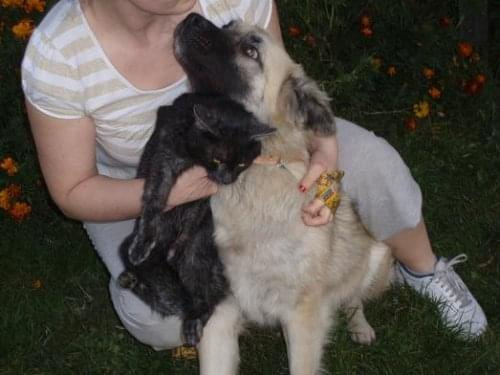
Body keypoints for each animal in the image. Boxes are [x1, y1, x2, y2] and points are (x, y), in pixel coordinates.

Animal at [117, 92, 274, 346]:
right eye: (218, 159)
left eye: (242, 163)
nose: (227, 179)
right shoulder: (165, 160)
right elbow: (155, 197)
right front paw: (143, 242)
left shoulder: (205, 195)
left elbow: (194, 216)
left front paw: (178, 243)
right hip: (128, 249)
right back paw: (131, 278)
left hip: (197, 256)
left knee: (203, 301)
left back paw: (192, 321)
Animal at [175, 13, 394, 374]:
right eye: (228, 24)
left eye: (251, 51)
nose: (191, 17)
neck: (251, 172)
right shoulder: (219, 311)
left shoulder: (302, 316)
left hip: (377, 257)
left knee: (353, 297)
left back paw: (360, 325)